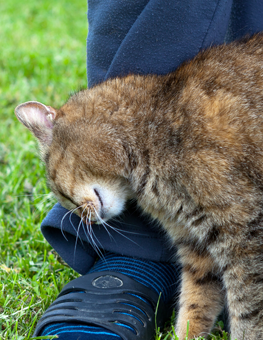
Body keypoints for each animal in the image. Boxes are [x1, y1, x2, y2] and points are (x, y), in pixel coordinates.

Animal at [14, 32, 263, 340]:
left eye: (62, 195)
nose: (85, 221)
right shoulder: (195, 245)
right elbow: (195, 302)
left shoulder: (244, 234)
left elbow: (247, 310)